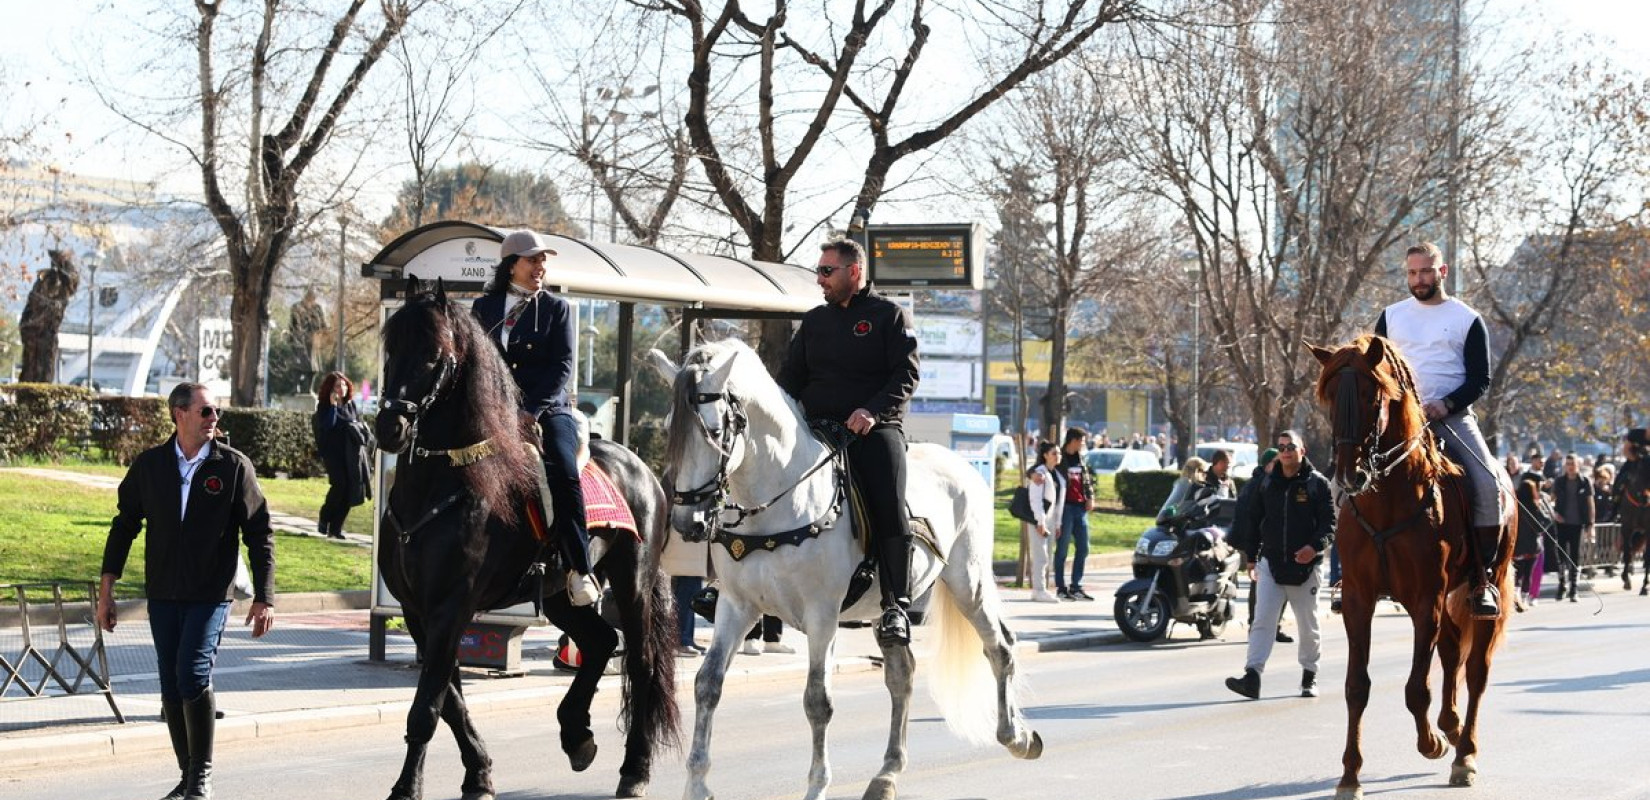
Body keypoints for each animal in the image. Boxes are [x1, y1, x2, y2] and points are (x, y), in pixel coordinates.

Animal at [374, 278, 676, 798]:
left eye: (434, 355)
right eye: (390, 347)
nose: (390, 427)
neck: (446, 481)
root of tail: (640, 466)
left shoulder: (451, 606)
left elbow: (428, 707)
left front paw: (407, 787)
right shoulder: (417, 611)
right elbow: (449, 699)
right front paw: (478, 773)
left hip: (633, 582)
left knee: (639, 662)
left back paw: (634, 770)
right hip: (558, 593)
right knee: (599, 642)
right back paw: (576, 735)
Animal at [646, 339, 1042, 798]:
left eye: (713, 431)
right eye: (671, 428)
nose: (686, 523)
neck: (780, 498)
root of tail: (961, 465)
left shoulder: (822, 615)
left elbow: (818, 700)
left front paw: (817, 786)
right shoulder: (736, 607)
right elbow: (707, 684)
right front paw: (697, 783)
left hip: (968, 582)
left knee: (1000, 646)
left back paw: (1017, 736)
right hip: (885, 608)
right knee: (901, 676)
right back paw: (887, 773)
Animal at [1306, 336, 1511, 798]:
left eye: (1371, 395)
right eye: (1330, 397)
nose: (1349, 474)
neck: (1388, 498)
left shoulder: (1424, 601)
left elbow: (1417, 687)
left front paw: (1431, 743)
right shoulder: (1360, 600)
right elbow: (1356, 687)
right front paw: (1350, 775)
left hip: (1486, 588)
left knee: (1476, 671)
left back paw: (1464, 752)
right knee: (1452, 653)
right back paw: (1451, 726)